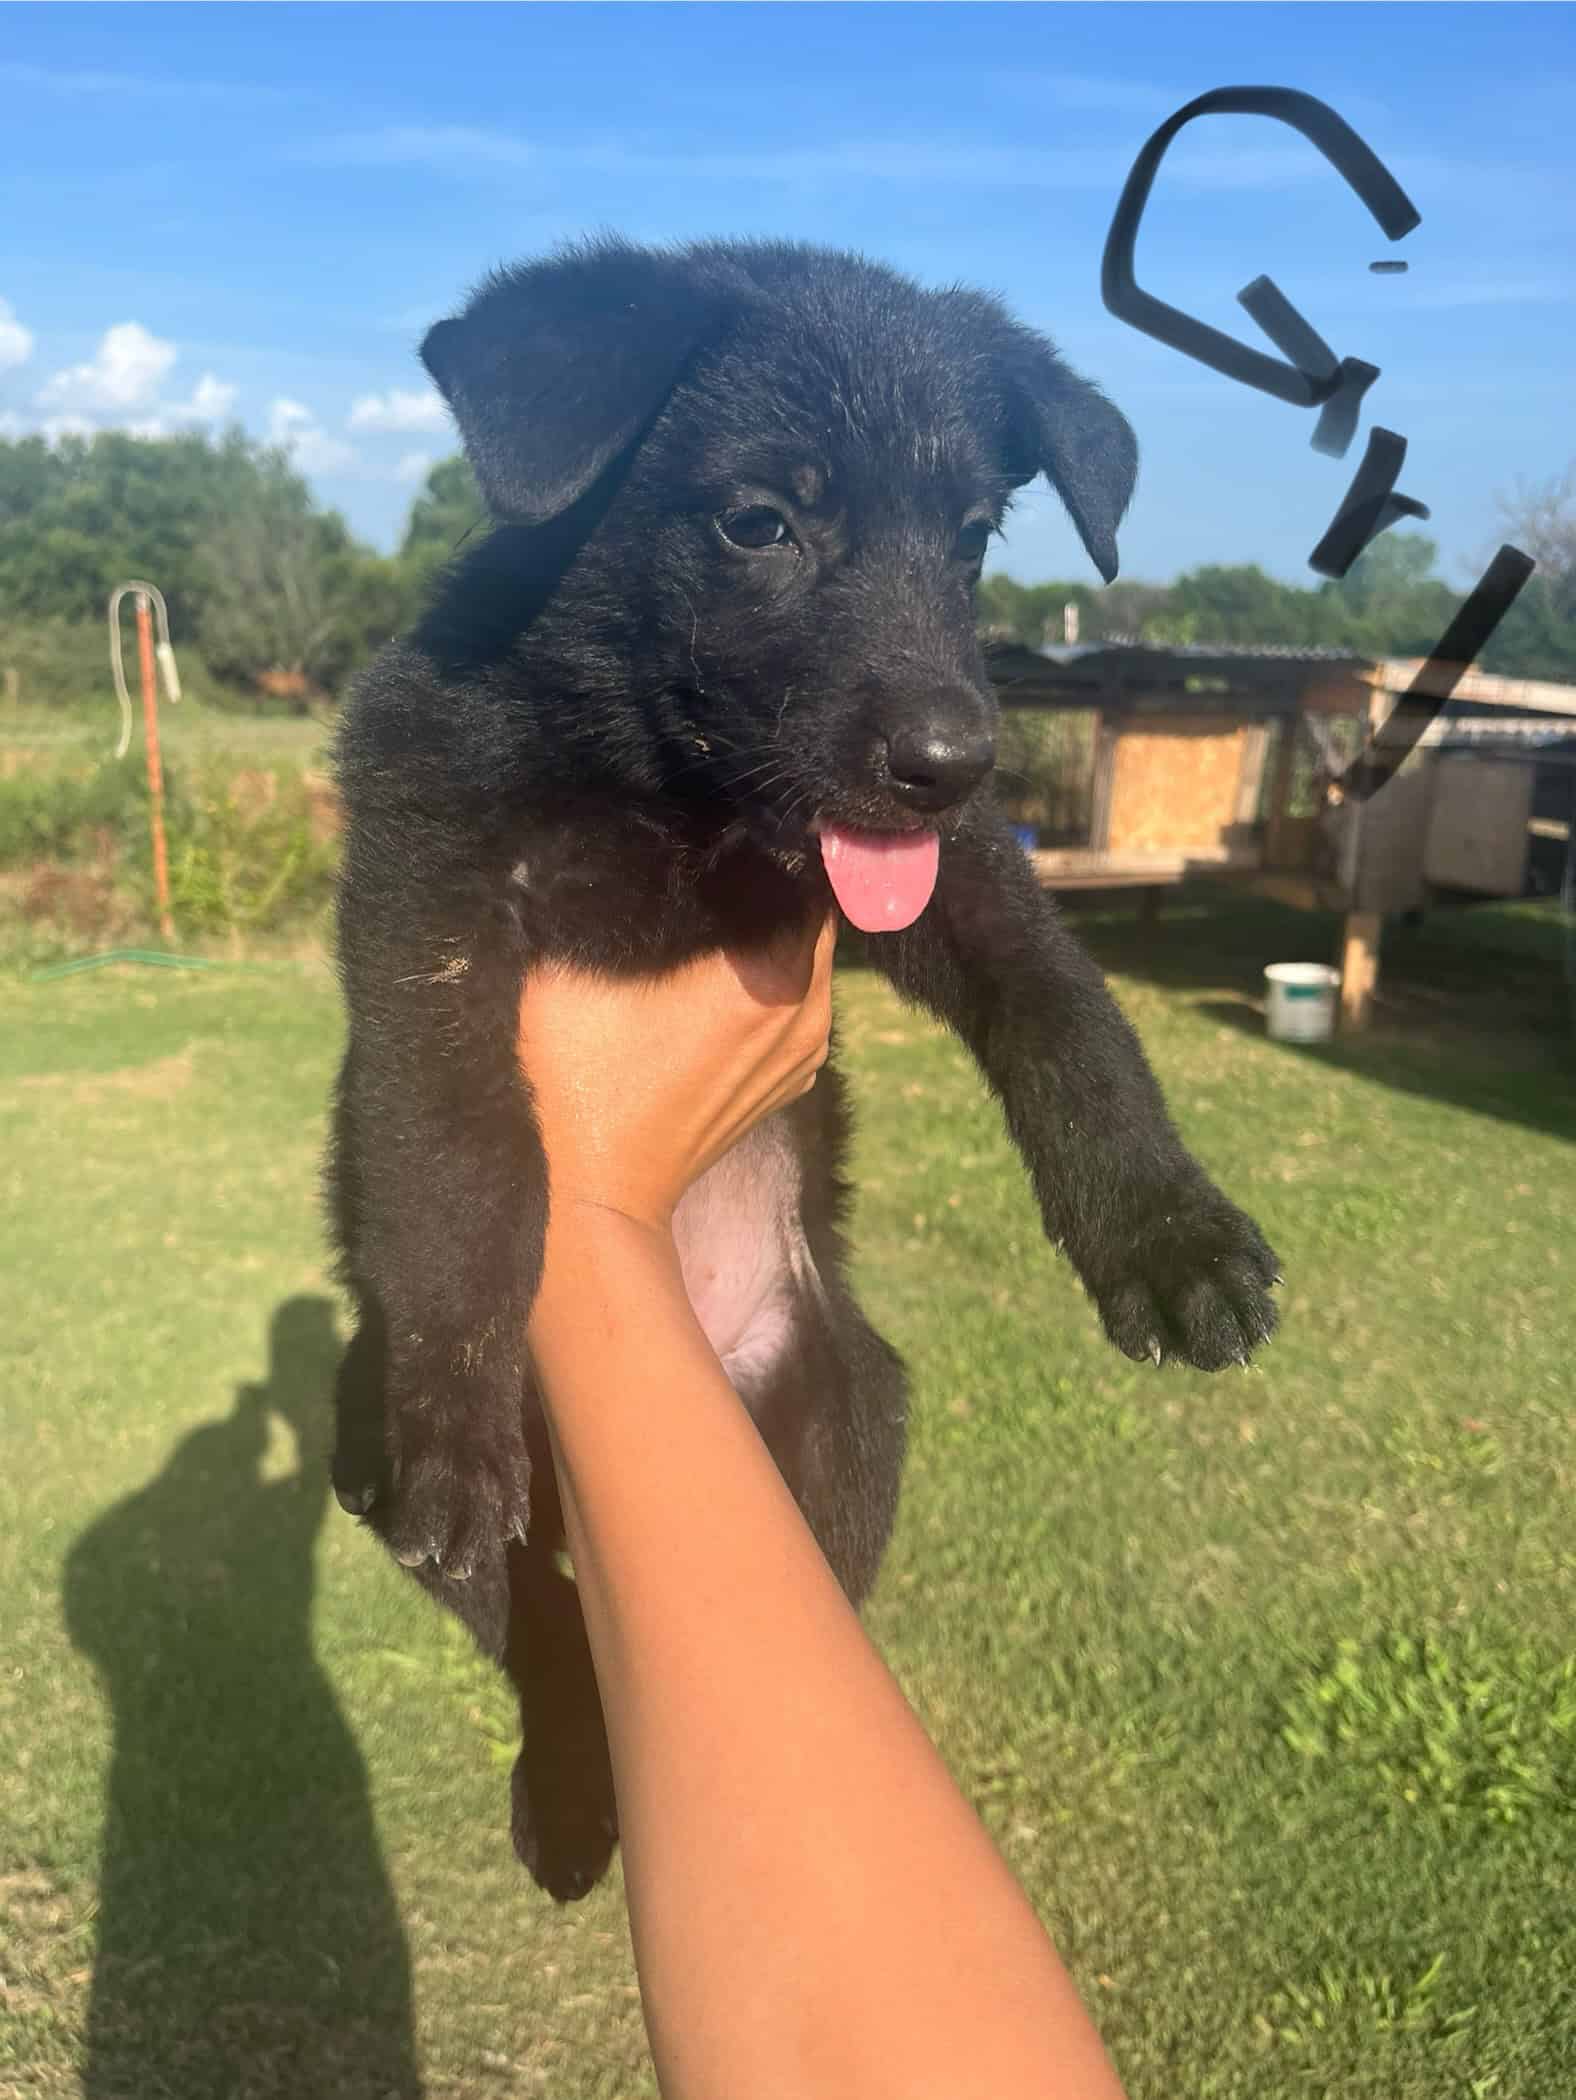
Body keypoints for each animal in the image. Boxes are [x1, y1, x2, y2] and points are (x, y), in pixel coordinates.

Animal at [334, 241, 1286, 1906]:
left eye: (971, 539)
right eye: (760, 521)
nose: (957, 761)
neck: (670, 797)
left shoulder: (955, 878)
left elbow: (1069, 1014)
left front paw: (1165, 1232)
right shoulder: (427, 887)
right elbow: (457, 1147)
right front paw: (452, 1389)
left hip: (854, 1410)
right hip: (358, 1435)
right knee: (539, 1625)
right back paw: (569, 1788)